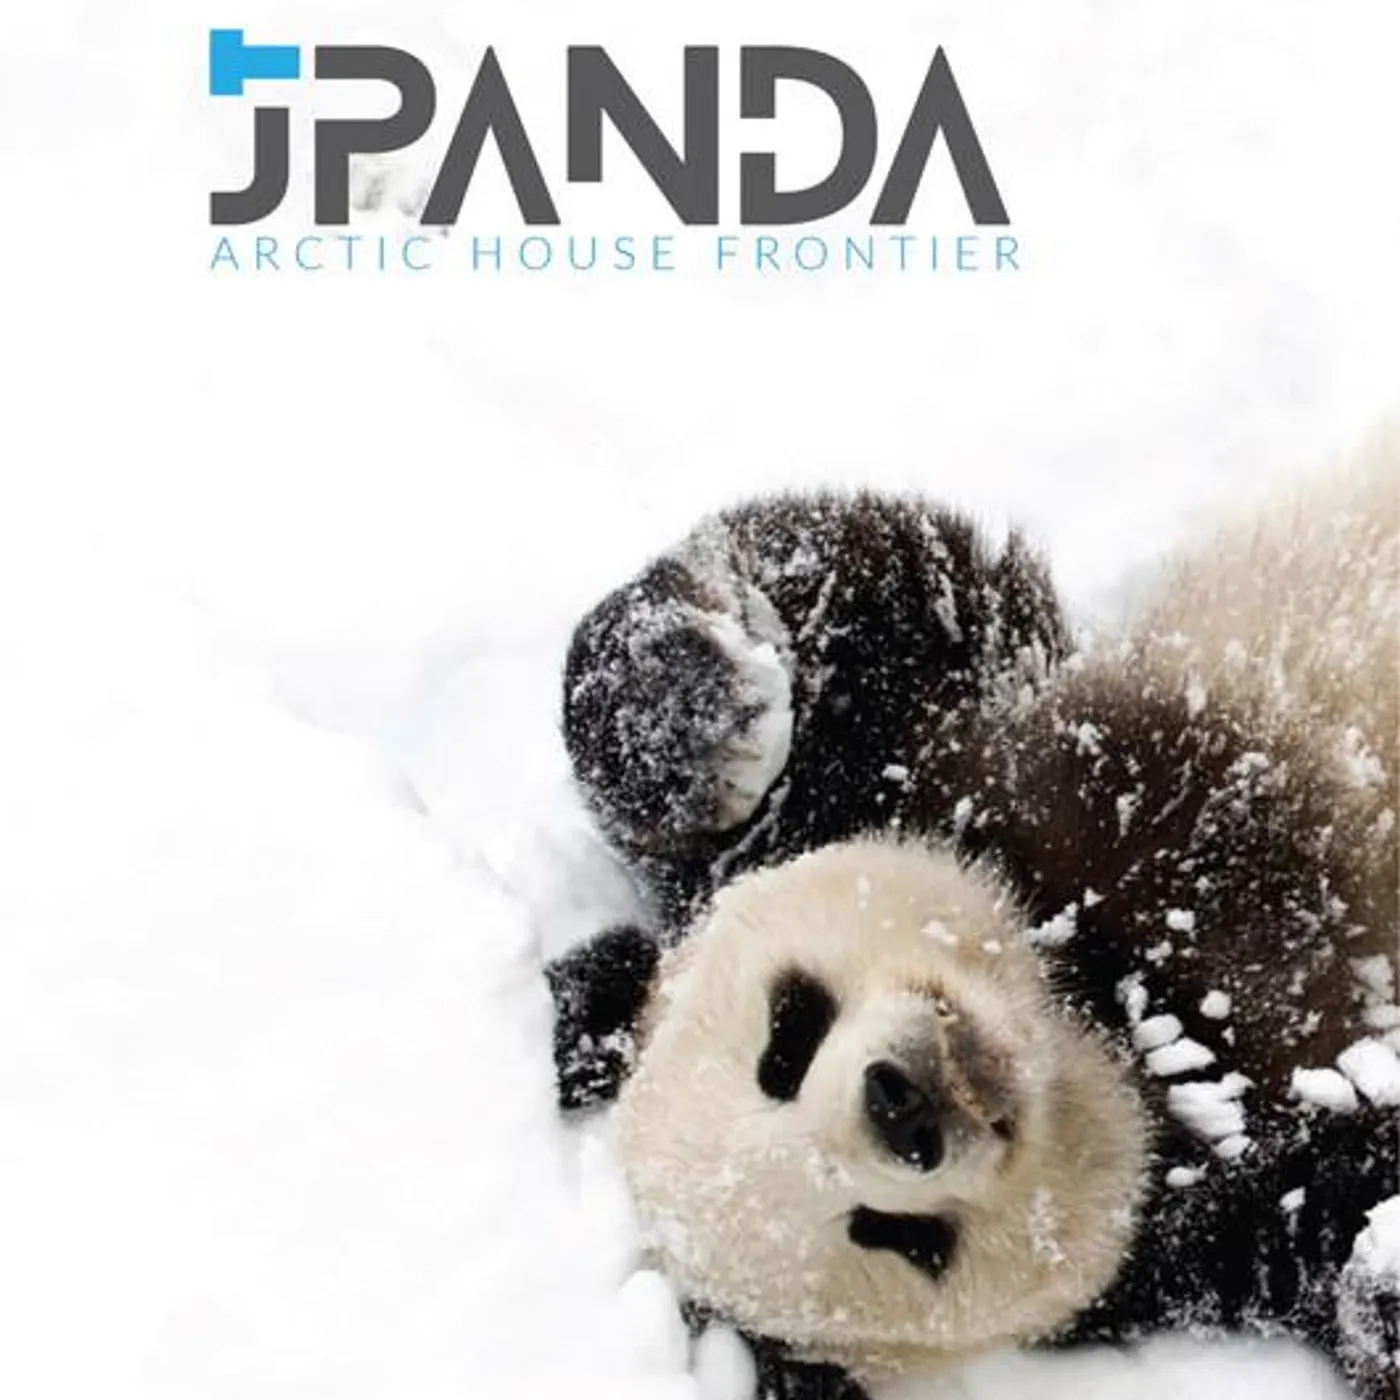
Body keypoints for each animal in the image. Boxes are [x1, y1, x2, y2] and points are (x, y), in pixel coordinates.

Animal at [546, 427, 1400, 1400]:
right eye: (894, 1235)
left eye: (786, 1042)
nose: (903, 1108)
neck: (1110, 1005)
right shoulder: (1237, 1211)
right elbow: (1337, 1234)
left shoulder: (933, 751)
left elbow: (861, 570)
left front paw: (703, 724)